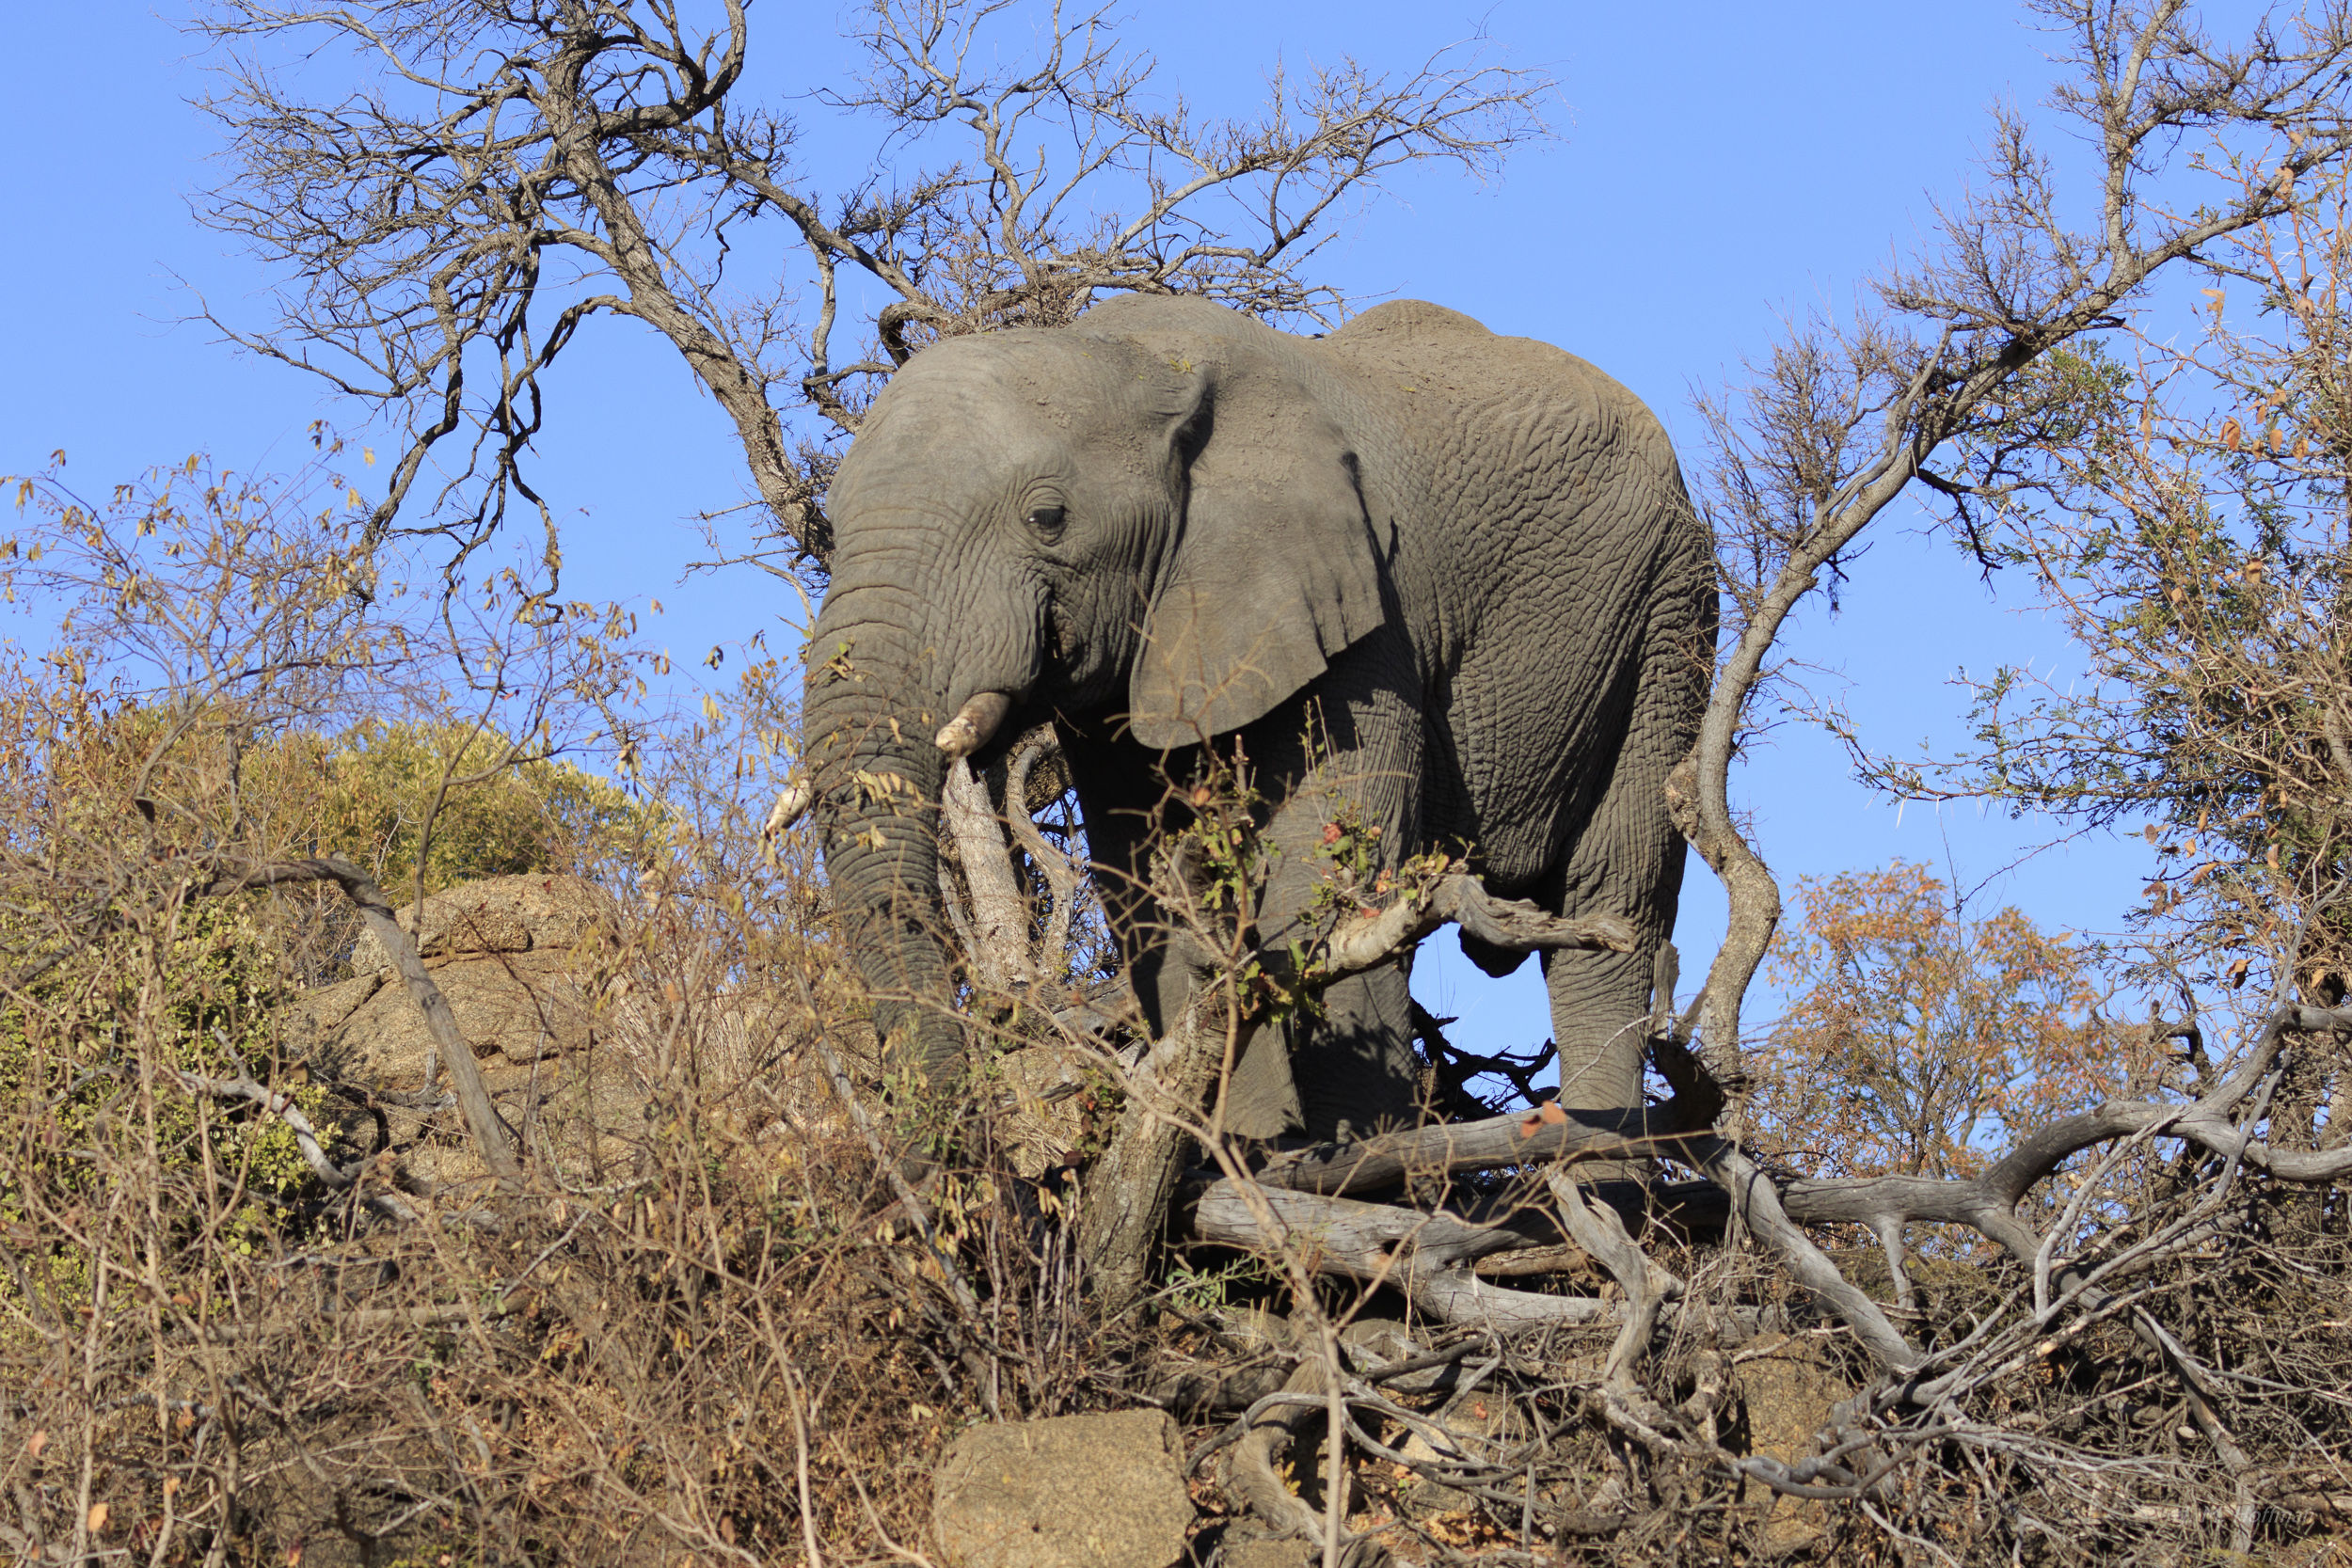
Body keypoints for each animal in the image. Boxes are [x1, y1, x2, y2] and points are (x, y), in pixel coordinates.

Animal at [799, 293, 1714, 1143]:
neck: (1139, 359)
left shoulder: (1368, 617)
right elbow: (1156, 894)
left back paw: (1597, 1166)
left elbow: (1325, 880)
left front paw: (1354, 1176)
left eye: (1047, 517)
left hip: (1670, 616)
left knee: (1613, 904)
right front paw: (1251, 1155)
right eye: (832, 525)